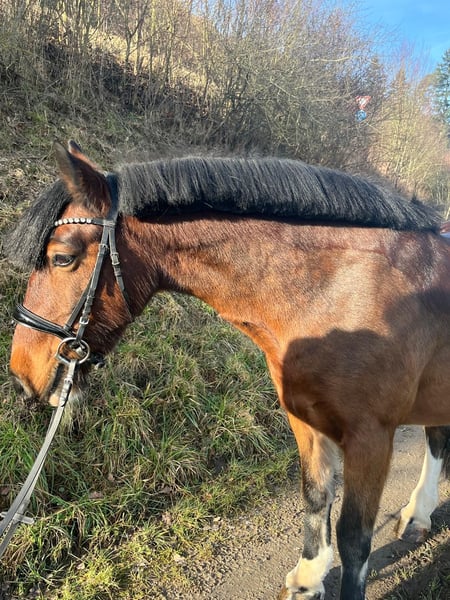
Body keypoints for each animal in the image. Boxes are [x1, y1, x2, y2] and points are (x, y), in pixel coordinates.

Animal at [7, 140, 450, 600]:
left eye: (62, 258)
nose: (21, 373)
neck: (339, 292)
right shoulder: (305, 419)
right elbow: (316, 497)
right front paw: (308, 578)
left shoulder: (371, 438)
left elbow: (354, 538)